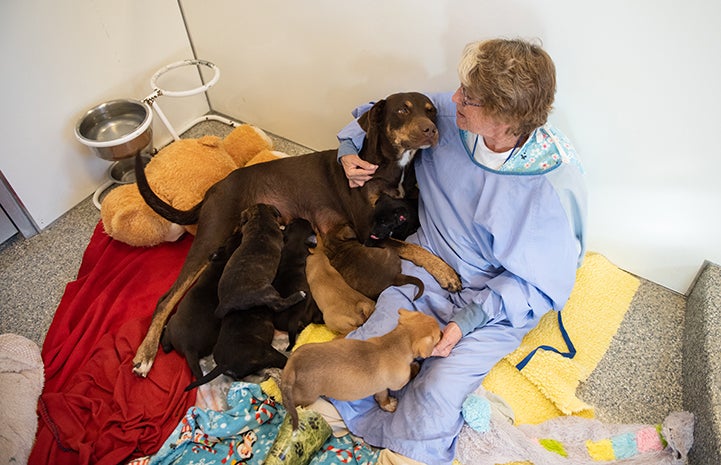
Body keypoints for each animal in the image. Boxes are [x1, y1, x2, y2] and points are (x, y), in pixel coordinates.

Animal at [160, 228, 243, 380]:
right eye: (233, 238)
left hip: (174, 323)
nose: (239, 231)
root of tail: (189, 348)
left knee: (166, 342)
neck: (224, 261)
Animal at [280, 308, 438, 428]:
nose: (442, 332)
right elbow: (409, 374)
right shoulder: (396, 383)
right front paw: (415, 366)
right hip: (307, 396)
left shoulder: (380, 387)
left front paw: (385, 404)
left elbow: (381, 398)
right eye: (438, 336)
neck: (395, 343)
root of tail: (293, 364)